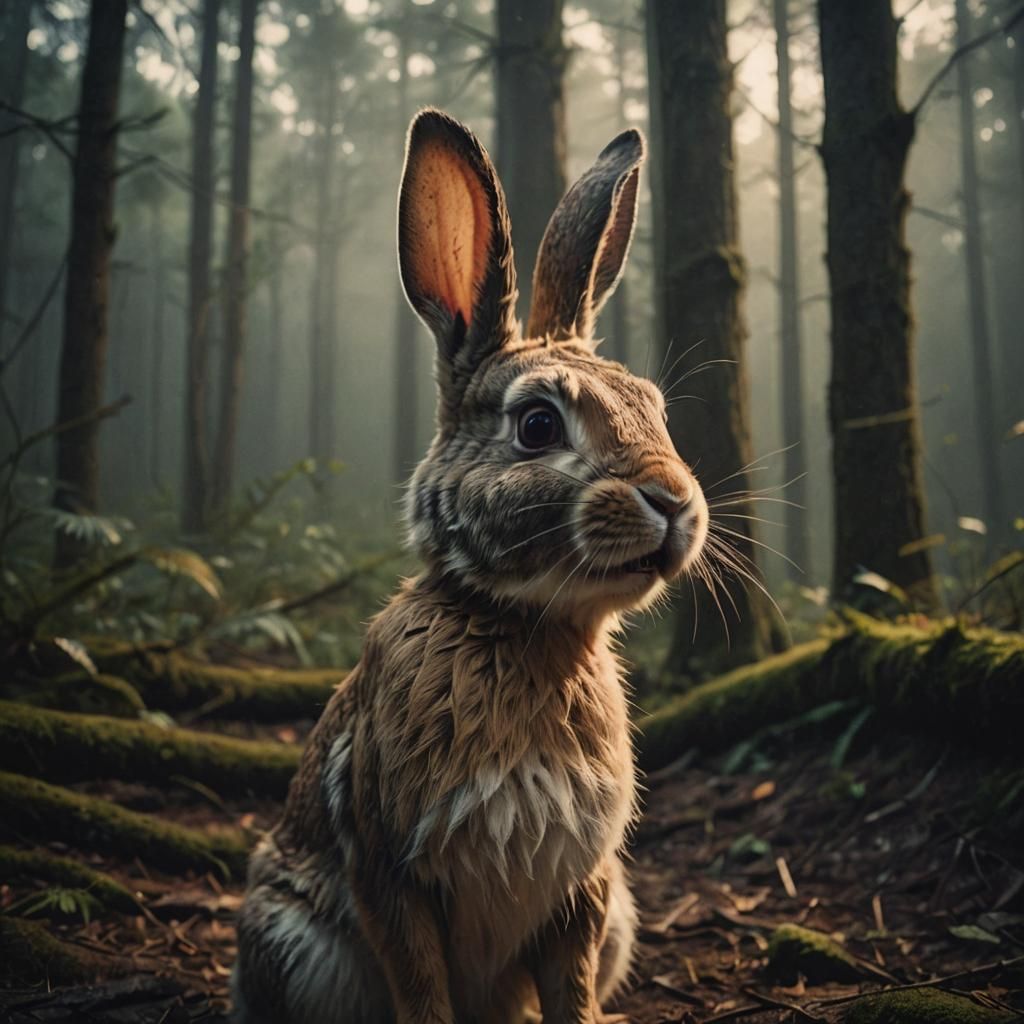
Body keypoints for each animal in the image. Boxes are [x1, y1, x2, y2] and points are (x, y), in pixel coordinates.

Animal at [232, 108, 709, 1024]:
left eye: (656, 410)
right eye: (537, 426)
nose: (674, 503)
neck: (516, 623)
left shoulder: (582, 886)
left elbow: (571, 990)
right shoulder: (391, 870)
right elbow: (422, 986)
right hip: (294, 947)